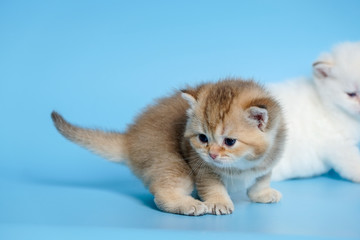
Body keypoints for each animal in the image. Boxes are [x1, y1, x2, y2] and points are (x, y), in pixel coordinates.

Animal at [52, 78, 286, 216]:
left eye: (229, 141)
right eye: (203, 138)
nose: (211, 154)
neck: (241, 166)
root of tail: (130, 138)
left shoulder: (269, 160)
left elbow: (261, 179)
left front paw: (262, 193)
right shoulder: (201, 168)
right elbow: (213, 186)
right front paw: (218, 202)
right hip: (173, 164)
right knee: (161, 195)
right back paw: (188, 204)